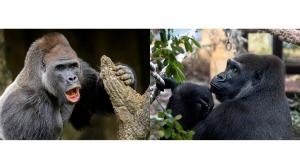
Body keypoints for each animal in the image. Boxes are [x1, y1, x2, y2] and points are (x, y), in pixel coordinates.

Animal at [0, 32, 135, 139]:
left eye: (72, 66)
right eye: (60, 68)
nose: (72, 78)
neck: (38, 80)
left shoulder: (82, 72)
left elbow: (98, 101)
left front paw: (127, 74)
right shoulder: (26, 105)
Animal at [159, 53, 292, 139]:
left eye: (235, 70)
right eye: (228, 66)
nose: (219, 76)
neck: (261, 90)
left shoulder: (225, 113)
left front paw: (187, 90)